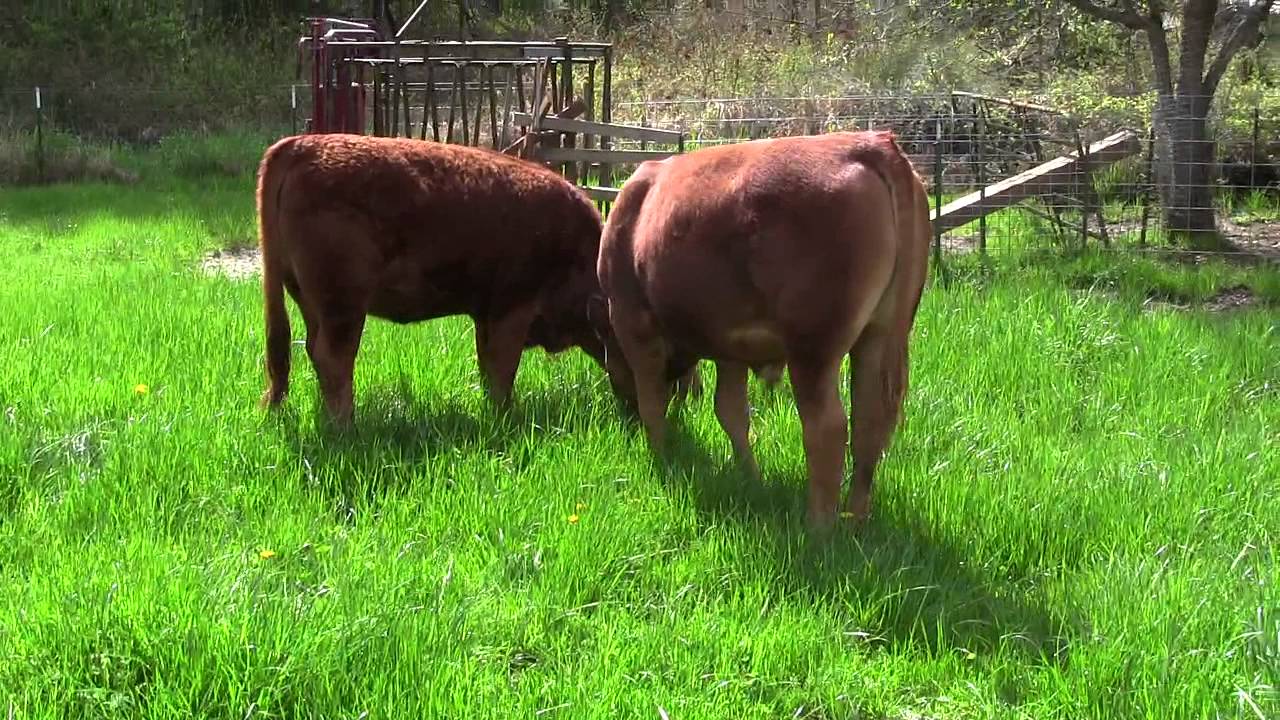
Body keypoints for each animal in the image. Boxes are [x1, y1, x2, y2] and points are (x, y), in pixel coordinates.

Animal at [256, 133, 622, 425]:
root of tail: (300, 145)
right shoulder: (511, 311)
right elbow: (502, 371)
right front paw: (505, 420)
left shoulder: (486, 317)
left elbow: (489, 369)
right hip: (344, 307)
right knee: (334, 358)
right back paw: (347, 427)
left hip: (309, 301)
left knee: (314, 353)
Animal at [596, 130, 931, 531]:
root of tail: (870, 143)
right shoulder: (729, 347)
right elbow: (731, 411)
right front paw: (749, 477)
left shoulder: (635, 328)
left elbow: (653, 403)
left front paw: (662, 457)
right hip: (878, 337)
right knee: (870, 422)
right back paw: (855, 517)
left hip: (812, 350)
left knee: (828, 429)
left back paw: (818, 525)